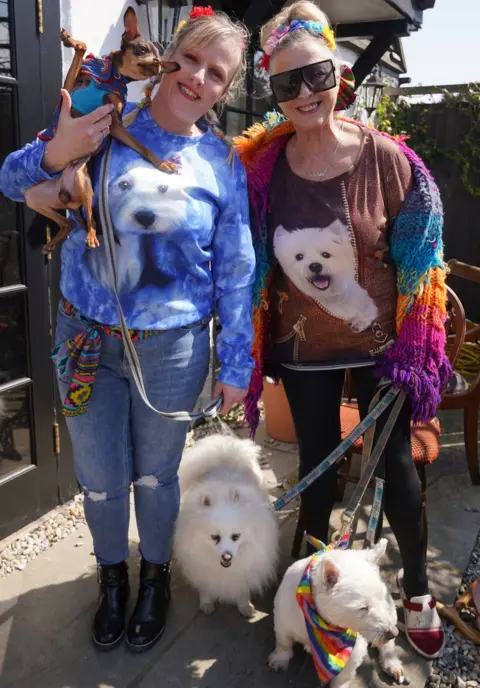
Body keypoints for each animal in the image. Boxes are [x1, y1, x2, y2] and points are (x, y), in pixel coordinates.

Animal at [24, 7, 179, 255]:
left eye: (160, 62)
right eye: (142, 49)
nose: (158, 65)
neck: (112, 78)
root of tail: (68, 196)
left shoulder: (115, 124)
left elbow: (142, 147)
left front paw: (161, 163)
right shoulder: (68, 90)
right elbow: (83, 48)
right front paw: (70, 40)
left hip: (82, 181)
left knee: (89, 220)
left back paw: (90, 237)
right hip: (33, 196)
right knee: (70, 223)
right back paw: (52, 242)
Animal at [173, 436, 280, 620]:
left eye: (236, 536)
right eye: (214, 537)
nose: (227, 556)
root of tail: (225, 456)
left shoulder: (246, 566)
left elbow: (242, 585)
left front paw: (245, 606)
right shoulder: (200, 564)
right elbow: (206, 585)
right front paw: (206, 602)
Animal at [268, 540, 404, 684]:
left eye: (382, 599)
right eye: (363, 607)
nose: (393, 633)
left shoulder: (355, 650)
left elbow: (344, 675)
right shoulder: (282, 620)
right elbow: (283, 642)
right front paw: (279, 659)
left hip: (391, 611)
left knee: (387, 645)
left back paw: (391, 662)